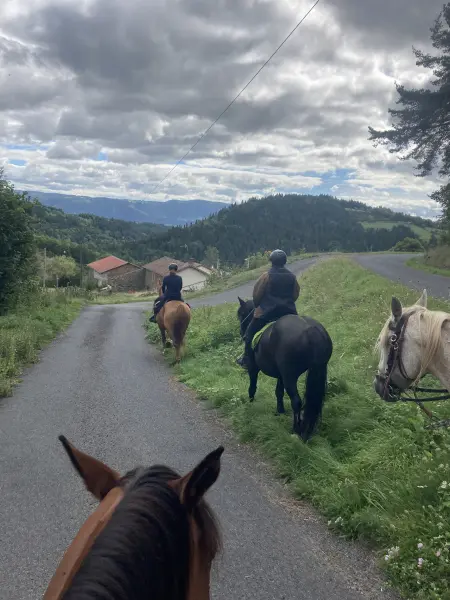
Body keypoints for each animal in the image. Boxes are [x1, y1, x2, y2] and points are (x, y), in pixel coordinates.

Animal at [237, 296, 332, 440]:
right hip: (316, 370)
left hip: (290, 376)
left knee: (296, 401)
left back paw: (295, 430)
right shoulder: (280, 375)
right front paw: (280, 411)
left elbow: (252, 387)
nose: (242, 332)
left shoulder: (254, 369)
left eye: (241, 314)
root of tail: (312, 331)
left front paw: (250, 403)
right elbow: (278, 392)